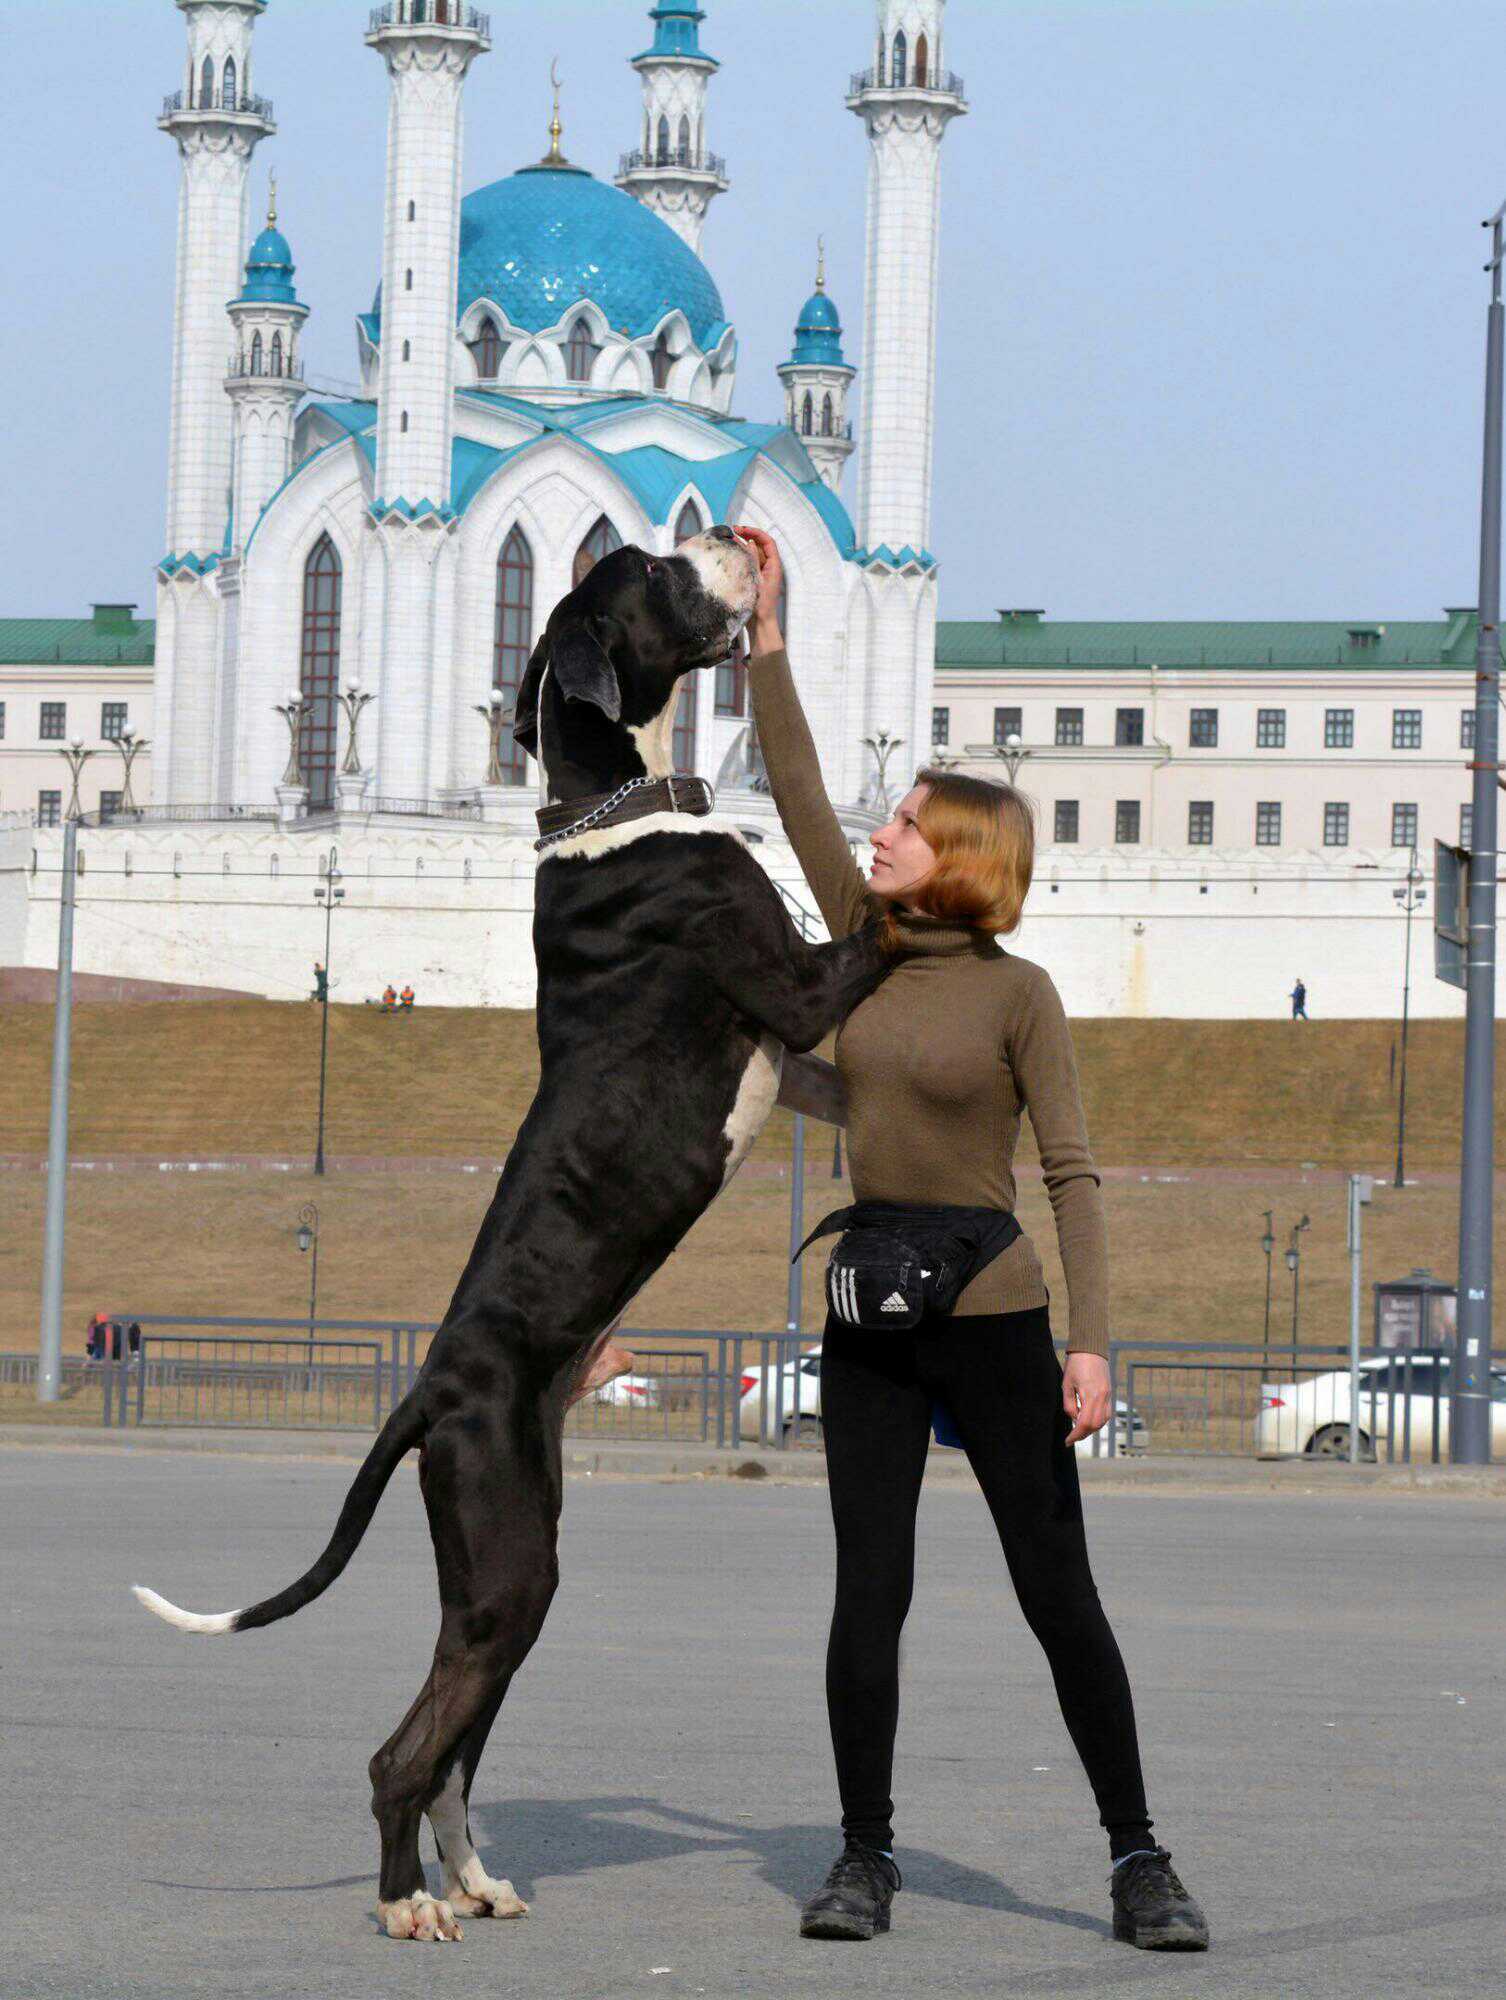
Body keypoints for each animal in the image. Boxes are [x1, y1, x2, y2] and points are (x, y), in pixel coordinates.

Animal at [132, 528, 892, 1936]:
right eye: (652, 570)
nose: (730, 538)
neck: (611, 809)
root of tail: (431, 1388)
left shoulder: (800, 1054)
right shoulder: (800, 986)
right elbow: (880, 919)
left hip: (506, 1553)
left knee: (454, 1743)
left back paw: (472, 1876)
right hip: (506, 1566)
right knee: (407, 1750)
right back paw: (405, 1903)